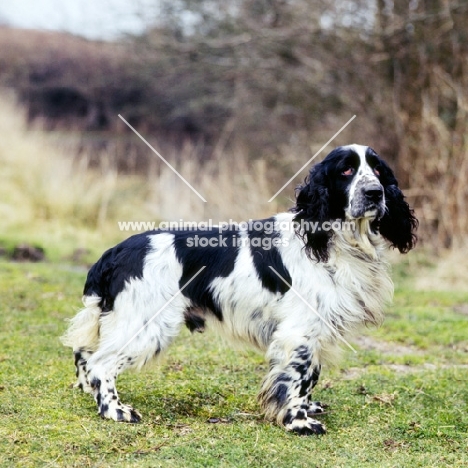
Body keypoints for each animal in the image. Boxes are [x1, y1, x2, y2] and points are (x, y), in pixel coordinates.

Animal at [62, 145, 416, 436]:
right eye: (346, 170)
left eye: (378, 170)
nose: (375, 193)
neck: (335, 240)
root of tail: (115, 251)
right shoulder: (299, 330)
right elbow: (298, 378)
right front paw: (298, 421)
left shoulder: (313, 329)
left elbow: (310, 376)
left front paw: (308, 408)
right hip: (147, 324)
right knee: (101, 363)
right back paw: (115, 410)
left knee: (85, 355)